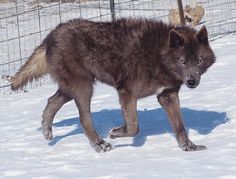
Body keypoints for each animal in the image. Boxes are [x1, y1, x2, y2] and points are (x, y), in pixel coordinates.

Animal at [9, 18, 216, 152]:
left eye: (198, 61)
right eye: (182, 61)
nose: (191, 81)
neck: (158, 54)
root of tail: (51, 35)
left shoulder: (167, 95)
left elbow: (180, 126)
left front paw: (188, 147)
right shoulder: (126, 92)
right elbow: (134, 126)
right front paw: (116, 133)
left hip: (71, 89)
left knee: (51, 101)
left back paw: (47, 132)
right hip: (83, 88)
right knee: (84, 119)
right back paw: (100, 145)